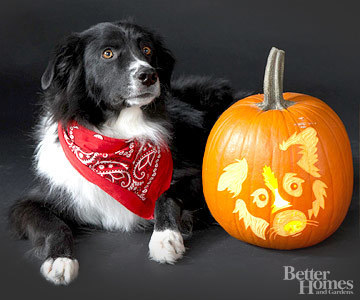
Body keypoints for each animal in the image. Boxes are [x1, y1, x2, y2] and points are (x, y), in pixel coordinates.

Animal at [8, 19, 248, 284]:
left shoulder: (199, 178)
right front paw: (60, 260)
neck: (119, 134)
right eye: (107, 53)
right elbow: (55, 226)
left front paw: (165, 237)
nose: (149, 75)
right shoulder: (30, 203)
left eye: (146, 50)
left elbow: (166, 194)